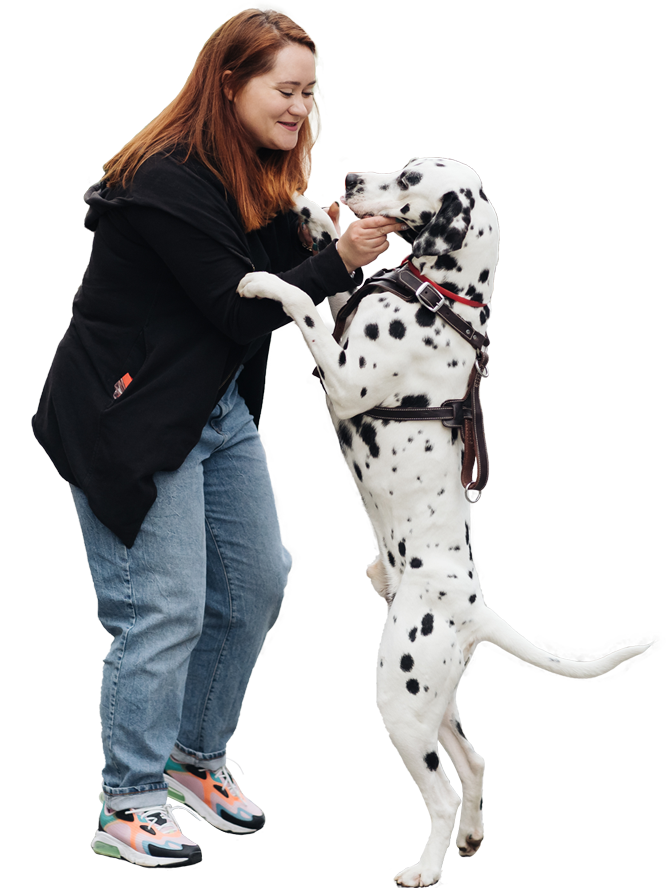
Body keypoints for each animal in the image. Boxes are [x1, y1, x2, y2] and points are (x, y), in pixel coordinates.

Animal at [236, 161, 644, 888]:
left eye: (409, 178)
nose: (352, 178)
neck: (443, 298)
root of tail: (474, 607)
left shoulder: (342, 375)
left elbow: (303, 300)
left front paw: (264, 280)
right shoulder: (346, 316)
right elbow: (331, 263)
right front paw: (309, 206)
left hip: (401, 701)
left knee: (443, 792)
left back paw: (426, 867)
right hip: (435, 700)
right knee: (474, 763)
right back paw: (474, 837)